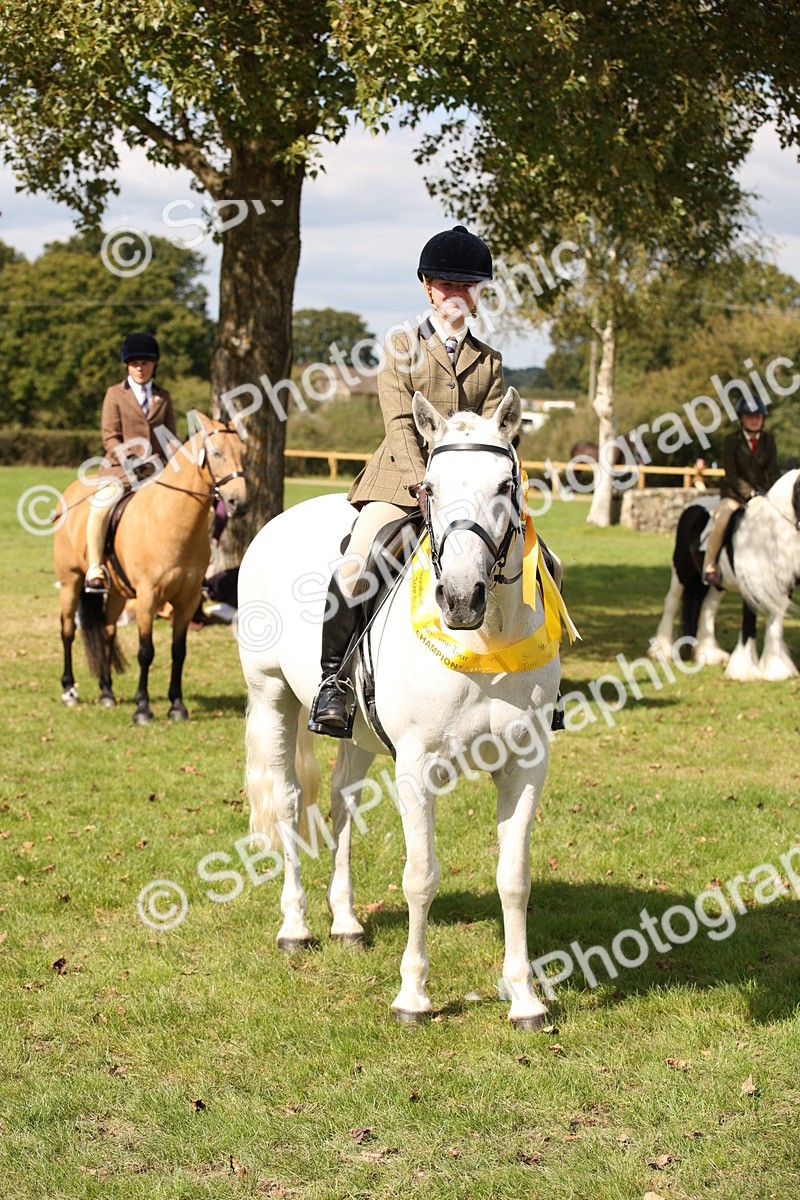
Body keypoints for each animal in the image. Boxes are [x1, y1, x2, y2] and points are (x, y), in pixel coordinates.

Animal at [54, 412, 247, 722]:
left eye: (243, 452)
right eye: (216, 453)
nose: (238, 503)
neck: (173, 521)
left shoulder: (187, 599)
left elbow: (178, 651)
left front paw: (177, 706)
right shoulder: (147, 597)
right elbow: (146, 651)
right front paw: (142, 708)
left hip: (117, 594)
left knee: (108, 630)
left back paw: (107, 692)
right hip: (70, 582)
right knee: (68, 631)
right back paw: (69, 690)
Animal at [238, 388, 572, 1030]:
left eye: (507, 484)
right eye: (429, 489)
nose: (461, 598)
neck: (483, 642)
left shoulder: (526, 766)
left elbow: (514, 879)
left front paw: (524, 998)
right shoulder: (417, 767)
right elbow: (420, 878)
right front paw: (413, 997)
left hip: (358, 734)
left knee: (341, 802)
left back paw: (345, 922)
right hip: (271, 697)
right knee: (289, 801)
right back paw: (295, 927)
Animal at [649, 469, 800, 680]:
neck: (770, 533)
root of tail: (692, 507)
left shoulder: (785, 588)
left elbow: (775, 625)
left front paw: (777, 670)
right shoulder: (750, 589)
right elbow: (749, 625)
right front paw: (744, 671)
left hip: (716, 583)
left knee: (708, 609)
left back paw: (710, 653)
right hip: (681, 570)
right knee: (671, 603)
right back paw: (662, 650)